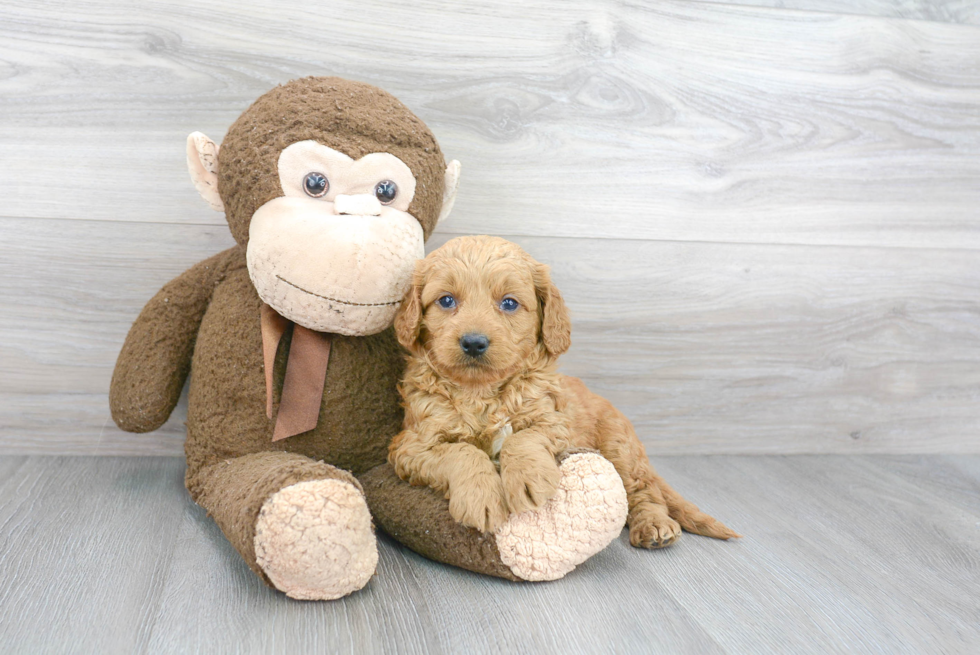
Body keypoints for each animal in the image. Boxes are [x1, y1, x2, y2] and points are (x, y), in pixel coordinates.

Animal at [386, 236, 740, 548]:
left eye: (509, 303)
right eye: (446, 300)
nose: (473, 342)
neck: (482, 393)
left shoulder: (555, 422)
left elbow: (522, 438)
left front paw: (527, 480)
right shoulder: (411, 446)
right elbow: (462, 451)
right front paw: (480, 497)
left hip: (620, 447)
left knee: (643, 489)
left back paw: (653, 524)